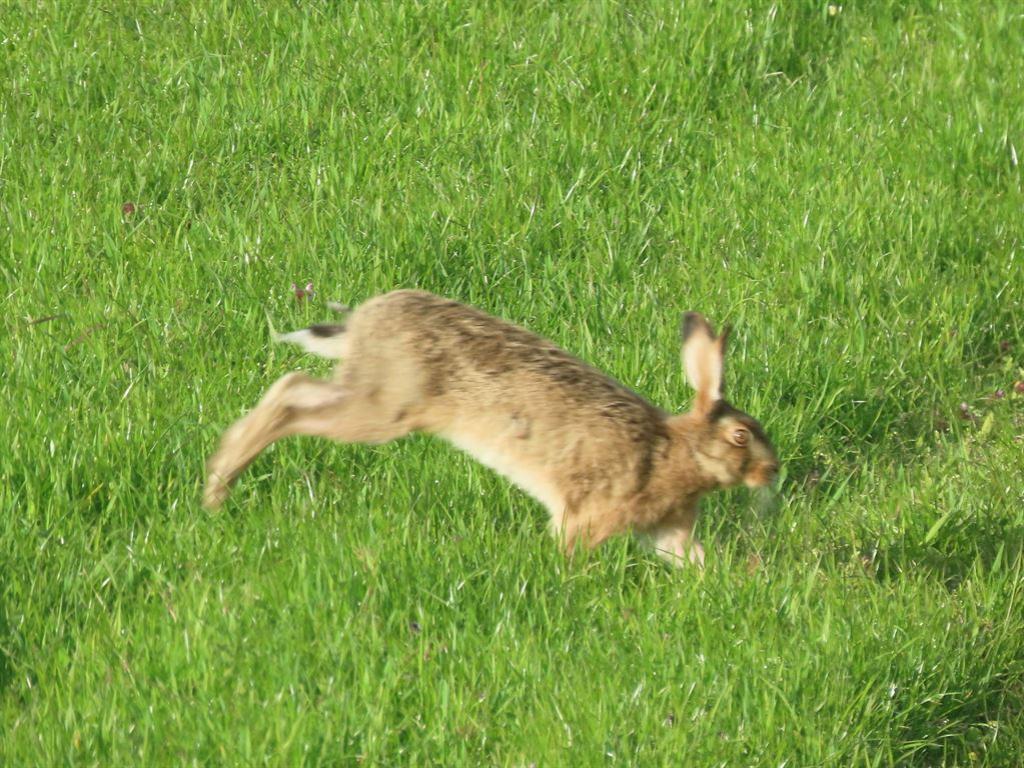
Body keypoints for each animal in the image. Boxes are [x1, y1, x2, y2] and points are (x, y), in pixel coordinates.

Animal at [203, 290, 778, 567]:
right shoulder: (589, 515)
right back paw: (218, 484)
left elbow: (689, 558)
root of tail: (365, 320)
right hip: (382, 411)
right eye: (741, 436)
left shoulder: (667, 531)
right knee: (290, 400)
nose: (772, 471)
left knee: (292, 384)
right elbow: (570, 547)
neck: (676, 451)